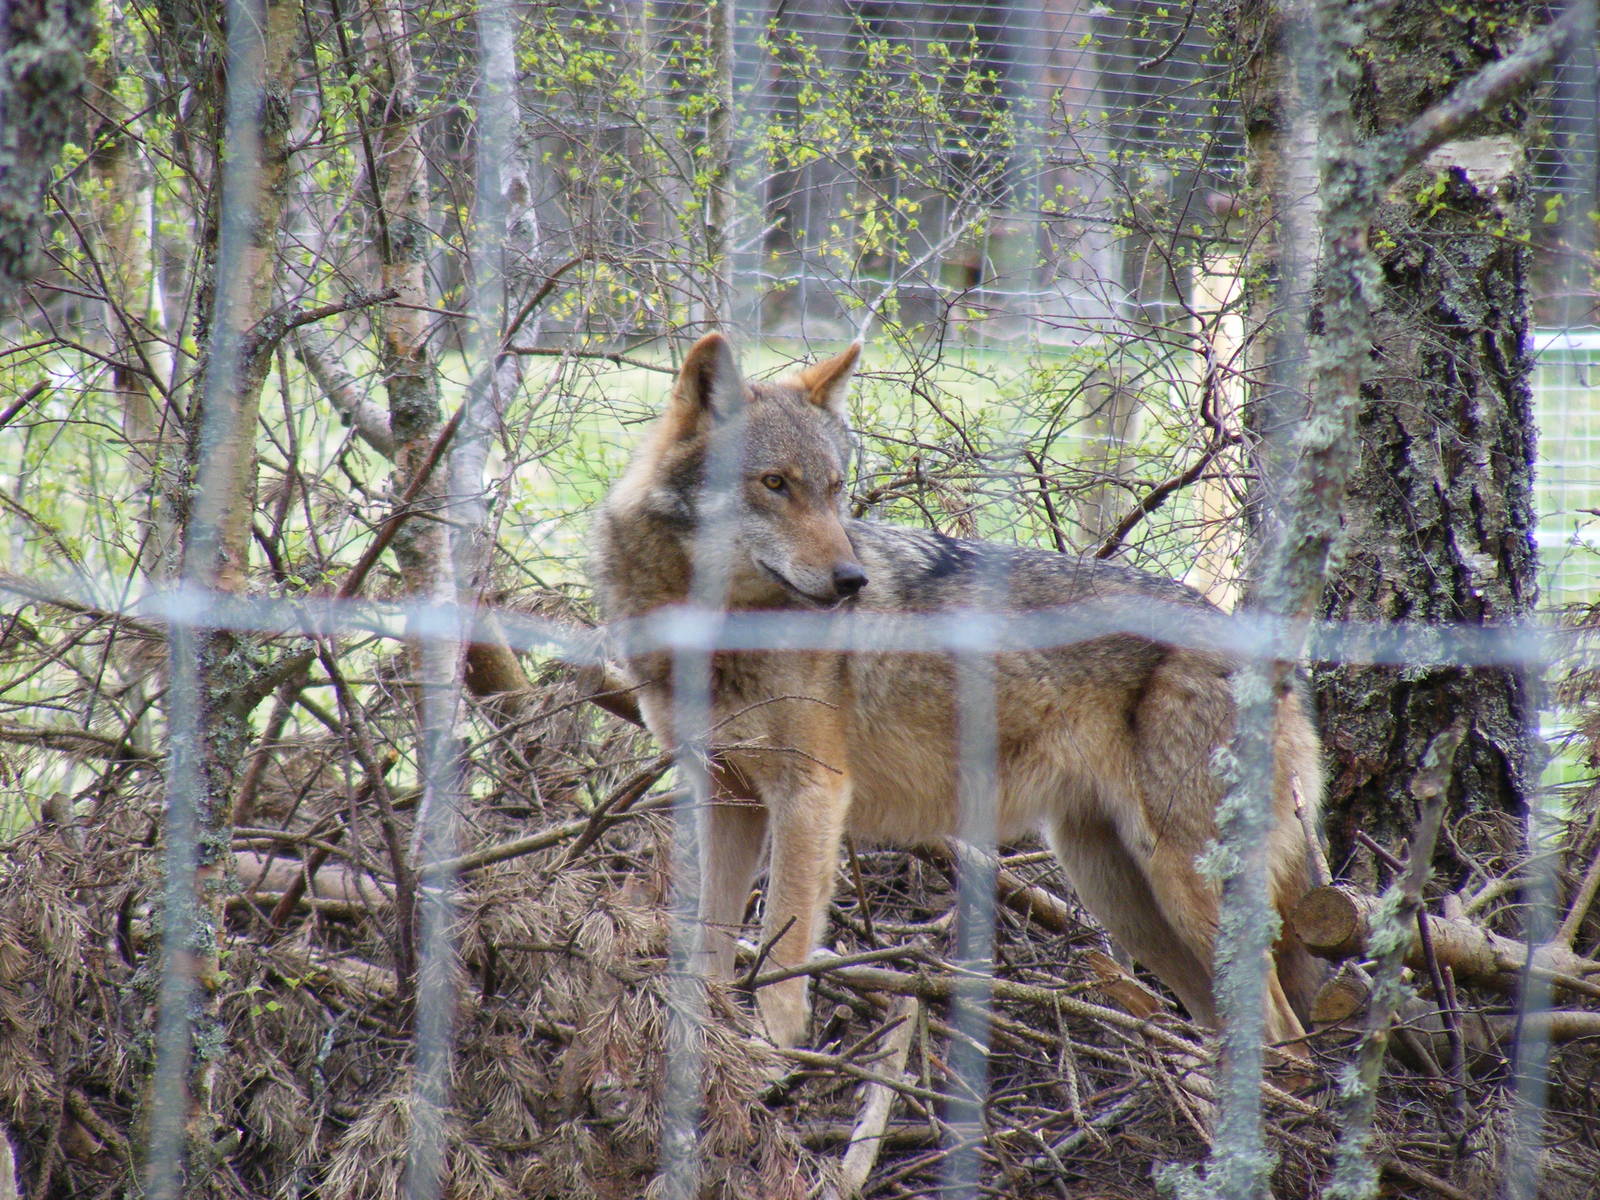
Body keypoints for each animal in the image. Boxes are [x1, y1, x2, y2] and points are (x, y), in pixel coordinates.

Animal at [590, 332, 1323, 1051]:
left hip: (1183, 887)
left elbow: (784, 956)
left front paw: (772, 1055)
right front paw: (711, 1050)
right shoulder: (727, 794)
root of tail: (1266, 653)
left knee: (1285, 1032)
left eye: (833, 489)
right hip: (1121, 896)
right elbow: (708, 949)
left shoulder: (813, 795)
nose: (851, 580)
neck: (716, 632)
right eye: (775, 484)